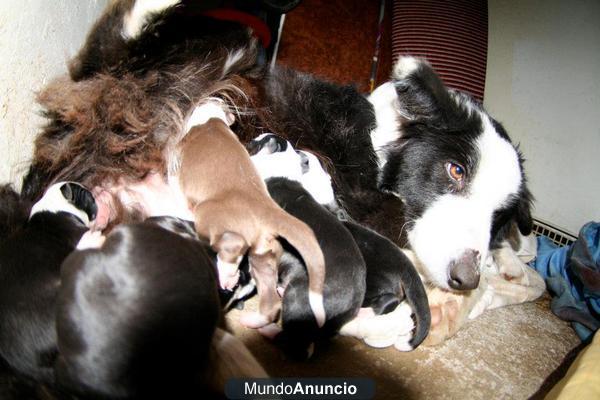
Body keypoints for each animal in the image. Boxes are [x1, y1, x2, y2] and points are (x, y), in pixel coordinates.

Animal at [176, 101, 326, 330]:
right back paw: (254, 321)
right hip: (263, 257)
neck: (211, 118)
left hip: (209, 218)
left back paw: (227, 276)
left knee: (232, 246)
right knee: (271, 302)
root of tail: (267, 208)